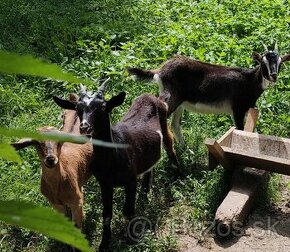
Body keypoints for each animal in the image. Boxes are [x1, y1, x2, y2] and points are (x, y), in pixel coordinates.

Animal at [52, 81, 179, 252]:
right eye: (78, 109)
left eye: (102, 107)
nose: (85, 127)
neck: (112, 159)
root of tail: (153, 97)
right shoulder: (105, 184)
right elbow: (106, 214)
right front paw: (104, 243)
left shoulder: (130, 181)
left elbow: (128, 211)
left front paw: (132, 238)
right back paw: (145, 192)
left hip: (164, 124)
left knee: (169, 142)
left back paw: (178, 176)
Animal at [127, 42, 290, 143]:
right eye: (263, 62)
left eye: (280, 63)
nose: (273, 76)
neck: (248, 81)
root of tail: (160, 71)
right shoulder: (237, 110)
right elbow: (240, 130)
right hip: (171, 98)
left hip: (179, 102)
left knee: (175, 124)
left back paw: (185, 149)